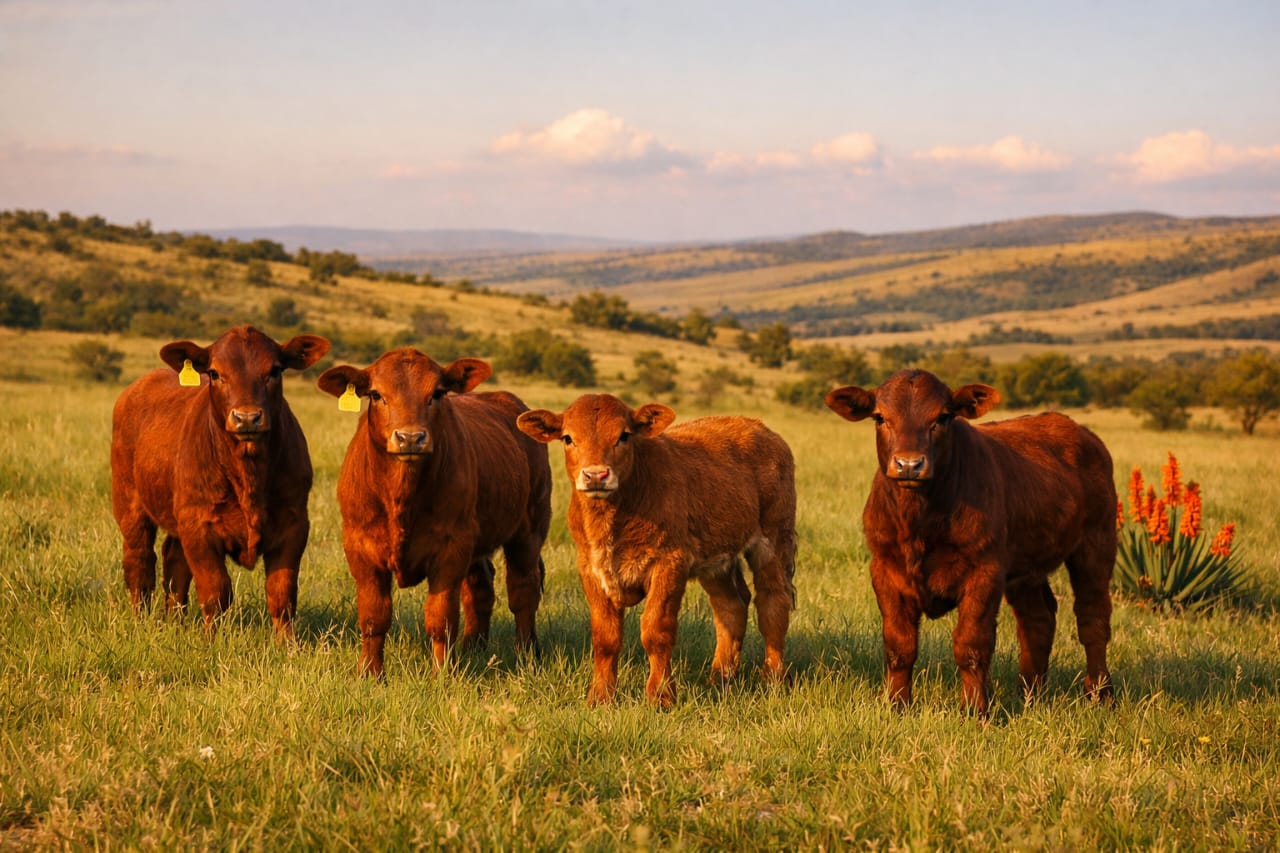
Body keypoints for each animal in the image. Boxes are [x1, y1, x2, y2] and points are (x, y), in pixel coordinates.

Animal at [110, 325, 330, 636]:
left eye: (275, 371)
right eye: (215, 373)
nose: (247, 418)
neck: (248, 474)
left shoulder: (294, 524)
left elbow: (282, 594)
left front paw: (287, 644)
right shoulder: (199, 526)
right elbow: (216, 591)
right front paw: (210, 640)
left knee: (173, 561)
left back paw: (174, 621)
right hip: (130, 504)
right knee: (139, 562)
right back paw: (141, 620)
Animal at [317, 349, 551, 677]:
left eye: (437, 393)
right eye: (376, 394)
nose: (410, 438)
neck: (401, 498)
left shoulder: (451, 549)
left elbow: (440, 618)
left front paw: (442, 674)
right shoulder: (359, 547)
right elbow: (374, 616)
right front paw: (370, 673)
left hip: (529, 530)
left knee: (523, 591)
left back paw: (527, 653)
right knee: (480, 587)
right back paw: (473, 647)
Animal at [517, 394, 797, 708]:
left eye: (624, 436)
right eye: (568, 438)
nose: (596, 475)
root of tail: (758, 427)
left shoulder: (670, 563)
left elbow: (655, 631)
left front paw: (660, 696)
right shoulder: (590, 568)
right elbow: (605, 637)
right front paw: (600, 697)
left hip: (774, 539)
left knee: (773, 603)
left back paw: (773, 678)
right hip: (716, 560)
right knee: (731, 606)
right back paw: (719, 679)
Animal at [825, 369, 1116, 716]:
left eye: (942, 417)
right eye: (880, 417)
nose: (909, 465)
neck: (920, 520)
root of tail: (1082, 433)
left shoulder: (985, 571)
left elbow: (971, 645)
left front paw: (976, 711)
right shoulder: (884, 570)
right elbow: (899, 645)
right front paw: (896, 705)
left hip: (1095, 545)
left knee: (1093, 618)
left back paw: (1099, 692)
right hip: (1026, 569)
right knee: (1037, 620)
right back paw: (1030, 694)